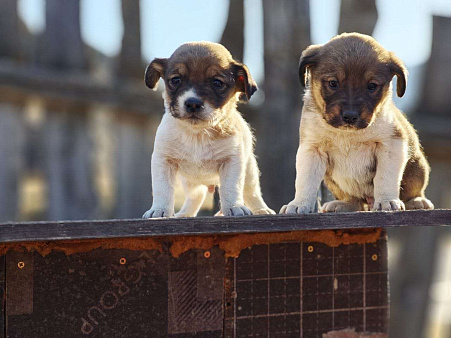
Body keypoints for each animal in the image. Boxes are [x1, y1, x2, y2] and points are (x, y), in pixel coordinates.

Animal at [143, 41, 274, 218]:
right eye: (176, 80)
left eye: (217, 83)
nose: (192, 103)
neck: (197, 135)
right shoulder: (163, 161)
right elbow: (162, 189)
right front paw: (159, 210)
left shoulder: (232, 162)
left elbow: (231, 188)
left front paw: (234, 207)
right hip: (191, 183)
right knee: (196, 197)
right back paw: (184, 214)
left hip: (250, 172)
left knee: (251, 193)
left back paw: (261, 209)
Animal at [282, 33, 434, 214]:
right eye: (333, 83)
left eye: (372, 86)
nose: (350, 116)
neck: (348, 134)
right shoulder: (312, 149)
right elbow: (305, 181)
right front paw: (299, 203)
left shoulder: (391, 144)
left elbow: (385, 177)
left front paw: (386, 201)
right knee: (355, 201)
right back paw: (343, 204)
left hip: (417, 168)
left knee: (413, 191)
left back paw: (417, 201)